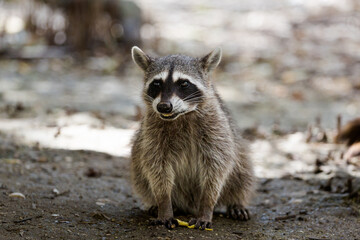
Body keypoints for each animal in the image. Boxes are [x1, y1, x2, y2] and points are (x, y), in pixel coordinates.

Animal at [131, 46, 255, 229]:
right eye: (157, 83)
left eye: (184, 84)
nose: (163, 106)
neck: (181, 116)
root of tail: (189, 205)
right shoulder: (151, 132)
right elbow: (156, 165)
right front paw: (164, 203)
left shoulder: (217, 129)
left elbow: (216, 167)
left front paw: (207, 205)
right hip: (139, 155)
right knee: (140, 170)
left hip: (237, 145)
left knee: (243, 171)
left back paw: (236, 202)